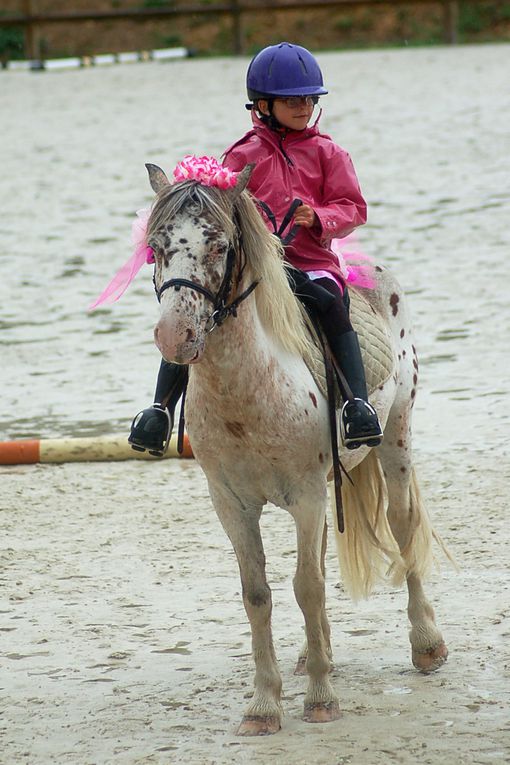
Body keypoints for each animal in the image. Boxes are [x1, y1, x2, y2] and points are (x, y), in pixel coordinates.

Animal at [142, 161, 446, 736]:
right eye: (156, 246)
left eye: (218, 245)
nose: (175, 337)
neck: (246, 396)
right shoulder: (231, 504)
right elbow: (257, 593)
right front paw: (264, 706)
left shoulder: (305, 495)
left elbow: (307, 586)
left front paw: (320, 699)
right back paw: (313, 653)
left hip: (395, 438)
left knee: (401, 523)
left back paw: (426, 646)